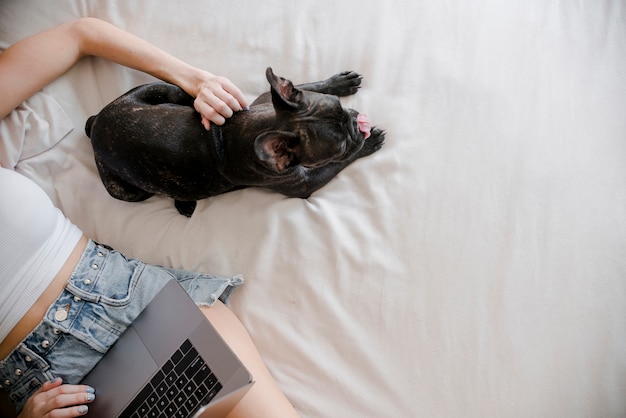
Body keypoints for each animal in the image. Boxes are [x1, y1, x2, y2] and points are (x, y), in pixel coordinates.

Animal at [85, 67, 382, 217]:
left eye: (339, 106)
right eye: (339, 147)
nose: (356, 122)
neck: (266, 125)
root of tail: (96, 125)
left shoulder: (268, 99)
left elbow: (309, 85)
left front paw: (338, 83)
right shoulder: (303, 184)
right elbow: (338, 165)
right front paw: (368, 143)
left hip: (165, 90)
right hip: (129, 192)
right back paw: (184, 202)